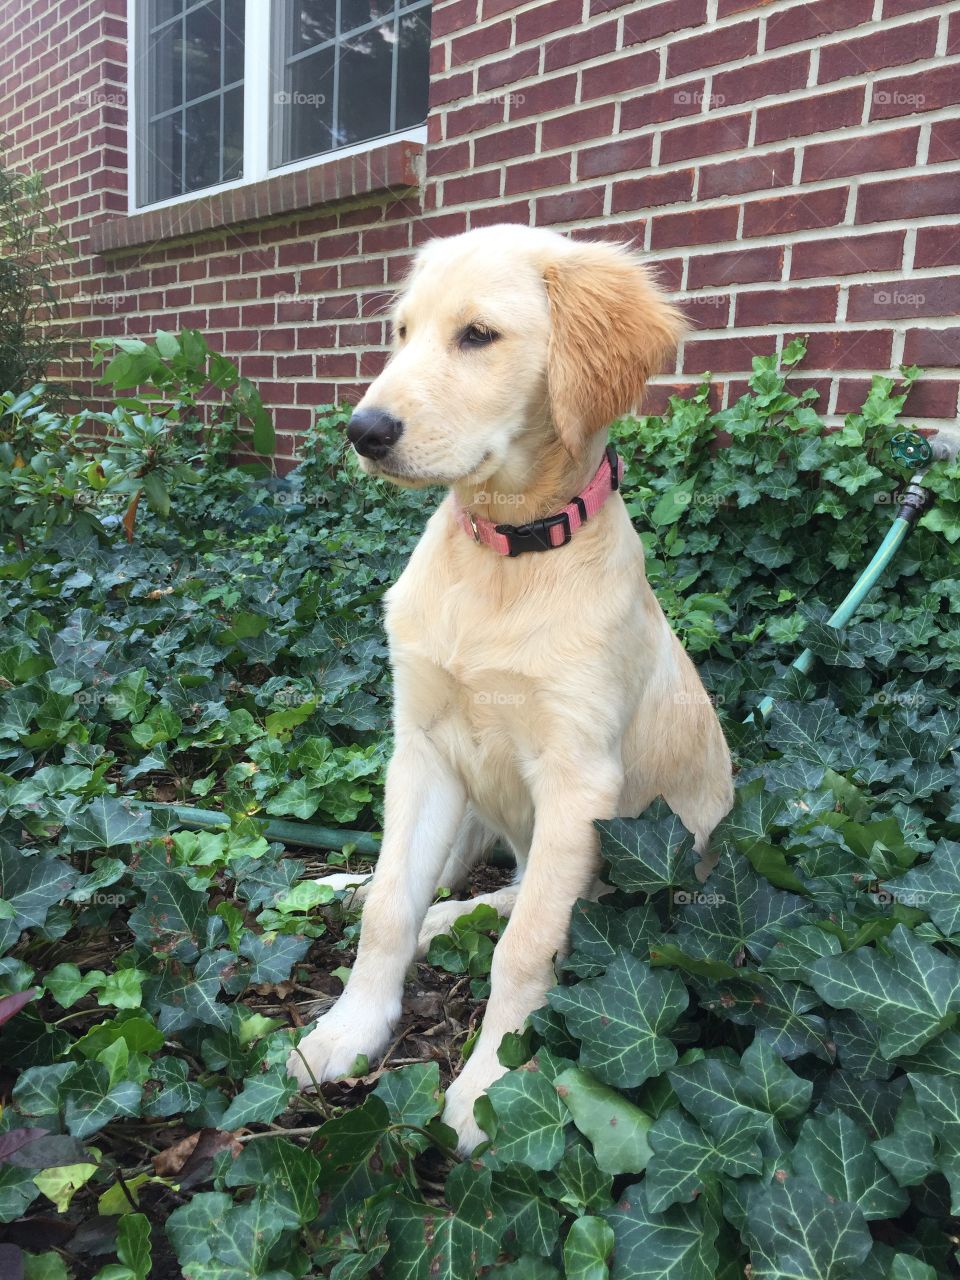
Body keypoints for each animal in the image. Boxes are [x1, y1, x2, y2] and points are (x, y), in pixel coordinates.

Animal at [288, 225, 737, 1157]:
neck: (503, 555)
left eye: (478, 336)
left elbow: (527, 950)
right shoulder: (420, 752)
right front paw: (348, 1031)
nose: (362, 430)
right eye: (402, 332)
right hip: (466, 805)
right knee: (448, 885)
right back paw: (382, 897)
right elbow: (387, 908)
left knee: (535, 903)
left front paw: (489, 1087)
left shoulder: (578, 784)